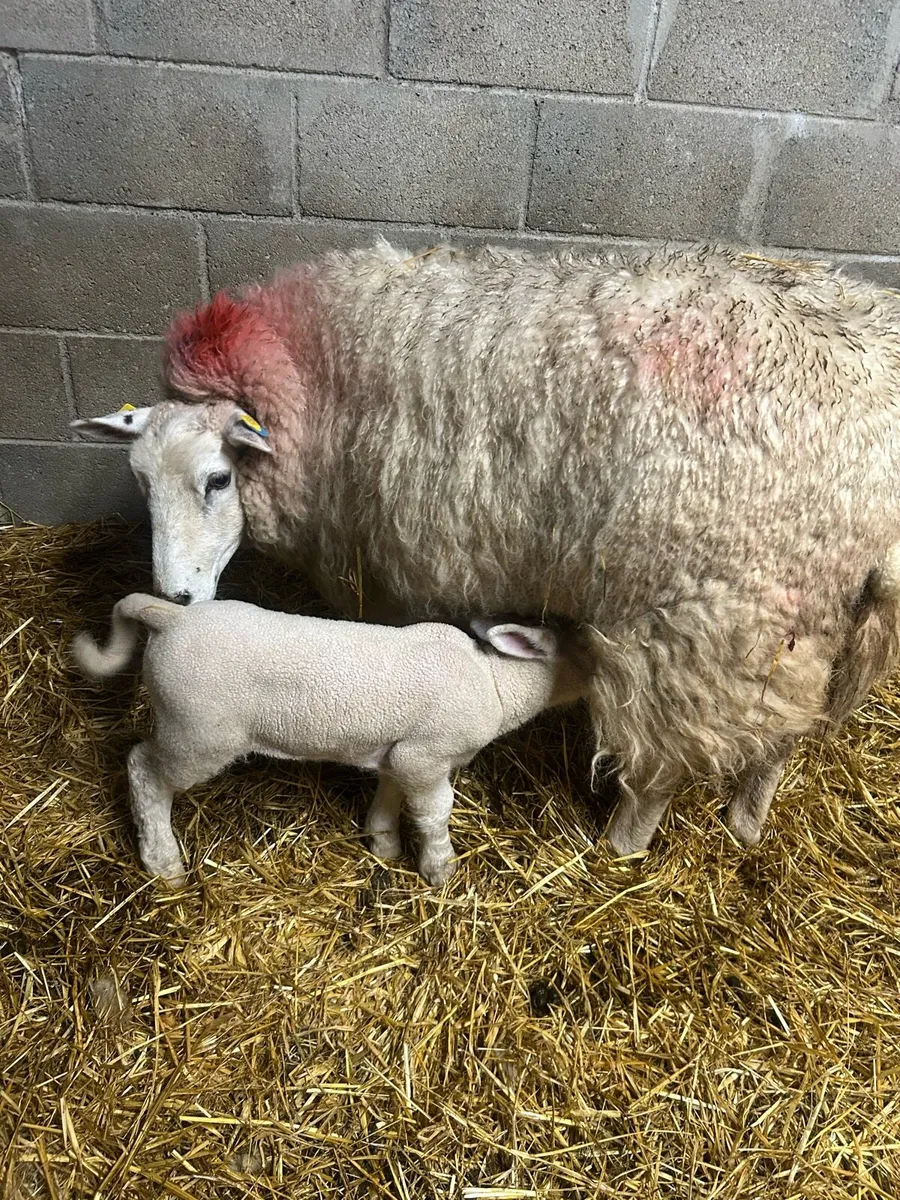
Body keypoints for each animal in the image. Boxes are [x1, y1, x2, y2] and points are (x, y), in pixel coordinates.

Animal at [71, 241, 900, 855]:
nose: (178, 597)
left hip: (707, 621)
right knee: (780, 736)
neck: (331, 385)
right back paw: (746, 822)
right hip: (800, 622)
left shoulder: (410, 557)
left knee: (667, 762)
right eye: (139, 480)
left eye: (218, 479)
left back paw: (623, 845)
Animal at [72, 597, 590, 886]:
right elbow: (435, 811)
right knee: (144, 770)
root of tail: (172, 618)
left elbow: (390, 793)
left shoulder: (400, 753)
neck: (493, 681)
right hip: (198, 731)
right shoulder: (426, 755)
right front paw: (440, 868)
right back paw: (163, 861)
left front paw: (383, 842)